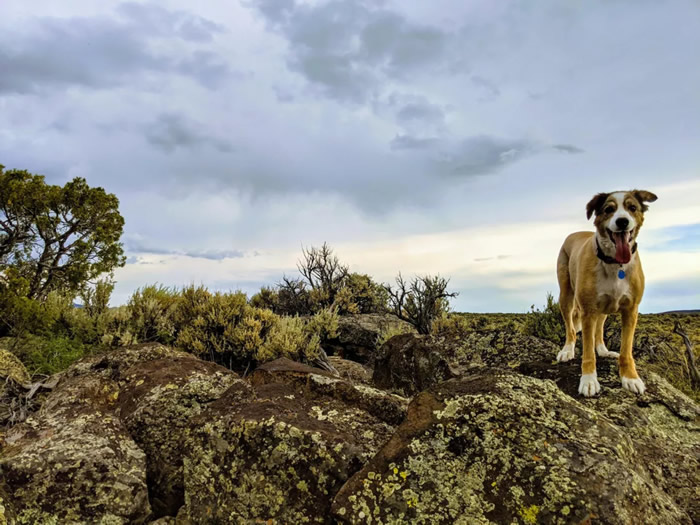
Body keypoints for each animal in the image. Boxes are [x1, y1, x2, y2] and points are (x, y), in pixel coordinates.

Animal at [556, 190, 656, 396]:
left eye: (632, 207)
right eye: (609, 209)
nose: (622, 221)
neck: (614, 263)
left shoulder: (631, 311)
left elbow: (626, 350)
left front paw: (630, 378)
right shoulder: (587, 311)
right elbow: (587, 352)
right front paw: (588, 381)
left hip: (604, 307)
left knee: (599, 330)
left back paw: (603, 350)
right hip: (566, 296)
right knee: (571, 328)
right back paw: (567, 350)